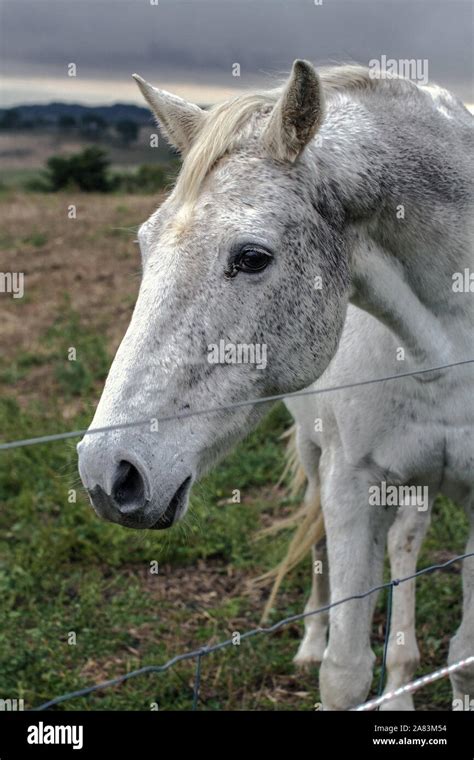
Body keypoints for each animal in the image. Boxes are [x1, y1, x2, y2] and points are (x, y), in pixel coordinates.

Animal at [76, 62, 472, 708]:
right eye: (144, 244)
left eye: (253, 257)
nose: (109, 474)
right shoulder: (350, 483)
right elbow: (343, 671)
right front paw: (338, 657)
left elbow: (464, 653)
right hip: (317, 455)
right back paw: (315, 641)